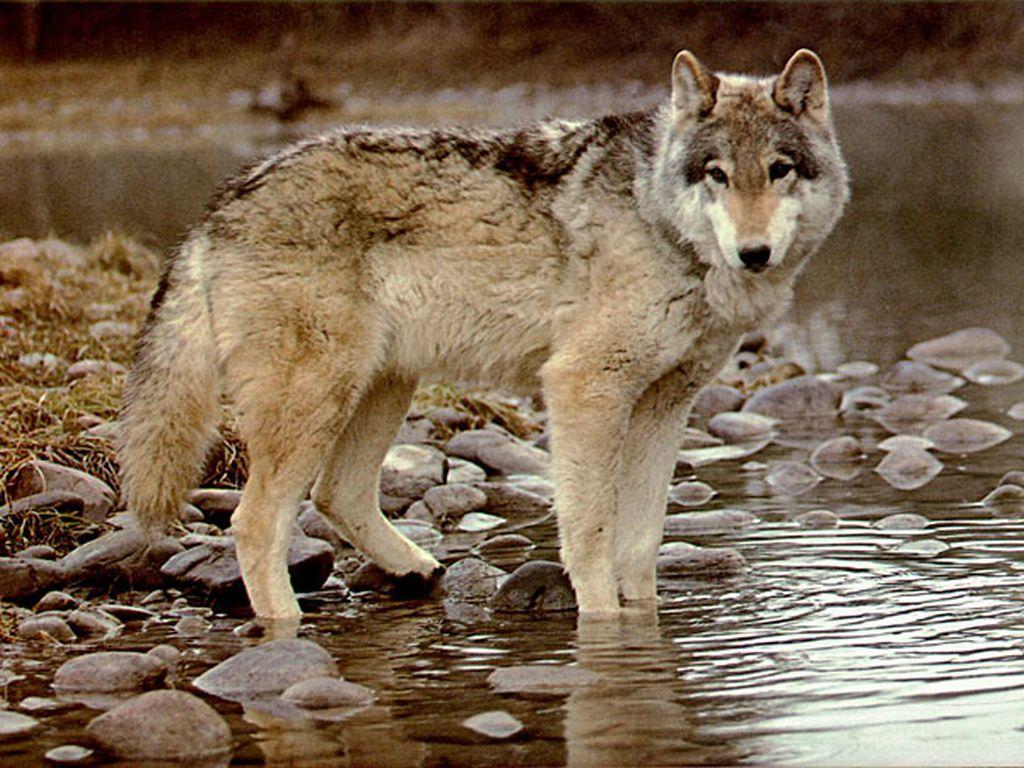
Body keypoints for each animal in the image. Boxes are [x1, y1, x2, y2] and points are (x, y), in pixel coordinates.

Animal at [119, 49, 848, 618]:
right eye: (717, 174)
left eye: (779, 169)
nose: (754, 253)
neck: (659, 222)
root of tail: (221, 204)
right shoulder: (583, 388)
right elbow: (591, 534)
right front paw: (602, 625)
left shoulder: (665, 406)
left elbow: (641, 544)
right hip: (317, 400)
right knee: (255, 523)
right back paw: (287, 633)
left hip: (384, 386)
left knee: (336, 495)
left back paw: (416, 570)